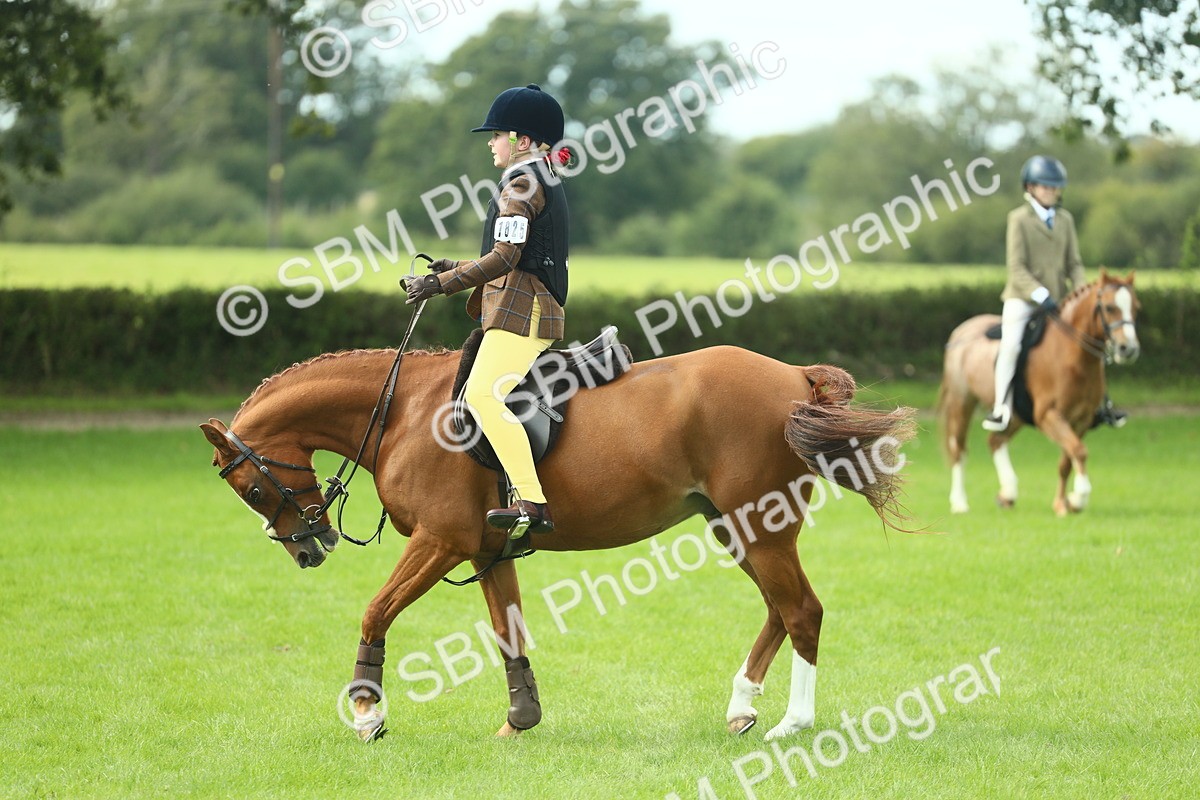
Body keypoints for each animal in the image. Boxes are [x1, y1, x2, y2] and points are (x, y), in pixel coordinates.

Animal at [200, 341, 916, 742]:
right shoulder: (484, 550)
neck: (402, 411)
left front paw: (367, 713)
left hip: (759, 526)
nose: (307, 548)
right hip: (737, 525)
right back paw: (742, 705)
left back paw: (794, 722)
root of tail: (794, 376)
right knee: (779, 609)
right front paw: (521, 720)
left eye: (252, 489)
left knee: (802, 611)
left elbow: (376, 612)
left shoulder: (440, 541)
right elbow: (507, 633)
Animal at [937, 269, 1140, 517]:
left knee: (995, 440)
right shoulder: (1048, 416)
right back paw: (960, 503)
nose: (1128, 349)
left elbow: (1067, 461)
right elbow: (1079, 451)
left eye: (1136, 308)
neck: (1073, 357)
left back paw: (1008, 493)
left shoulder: (1081, 420)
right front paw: (1079, 497)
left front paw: (1063, 503)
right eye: (1110, 307)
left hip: (1014, 415)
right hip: (962, 402)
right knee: (959, 449)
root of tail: (962, 329)